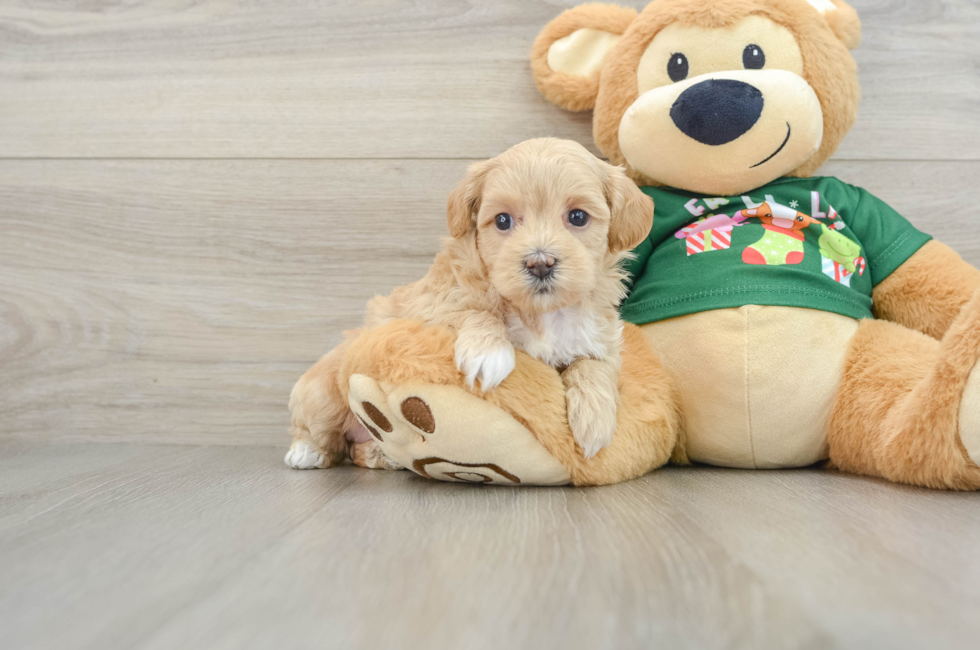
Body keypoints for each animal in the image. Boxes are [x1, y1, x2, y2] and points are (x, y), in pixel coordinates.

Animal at [288, 137, 656, 466]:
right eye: (503, 220)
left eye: (578, 217)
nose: (540, 263)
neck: (541, 314)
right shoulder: (428, 307)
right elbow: (472, 308)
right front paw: (488, 352)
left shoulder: (599, 337)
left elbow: (594, 363)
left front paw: (595, 420)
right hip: (322, 393)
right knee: (318, 430)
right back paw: (307, 452)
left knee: (356, 450)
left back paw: (382, 455)